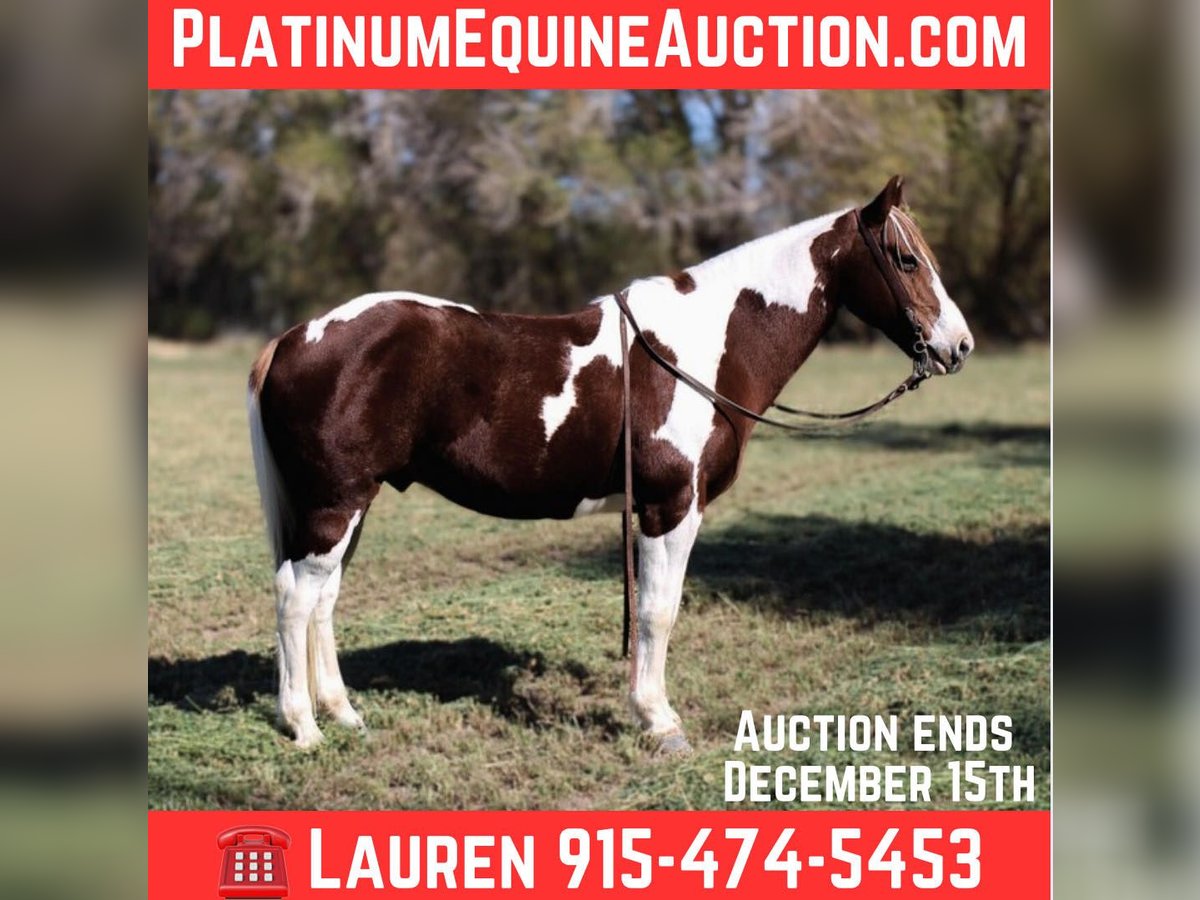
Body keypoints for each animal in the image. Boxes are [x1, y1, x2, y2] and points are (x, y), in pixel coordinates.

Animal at [247, 175, 974, 753]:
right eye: (906, 258)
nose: (959, 346)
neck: (702, 347)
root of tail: (293, 337)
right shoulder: (670, 507)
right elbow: (658, 612)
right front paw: (659, 721)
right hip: (334, 504)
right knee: (294, 598)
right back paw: (304, 727)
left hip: (348, 505)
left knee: (322, 600)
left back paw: (343, 713)